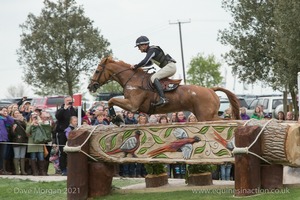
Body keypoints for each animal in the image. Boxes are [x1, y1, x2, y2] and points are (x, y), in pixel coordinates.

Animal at [87, 57, 241, 121]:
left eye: (97, 71)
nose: (90, 86)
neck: (133, 80)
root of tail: (210, 90)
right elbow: (111, 101)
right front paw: (116, 118)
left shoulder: (132, 105)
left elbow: (111, 100)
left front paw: (115, 118)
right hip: (206, 116)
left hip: (206, 117)